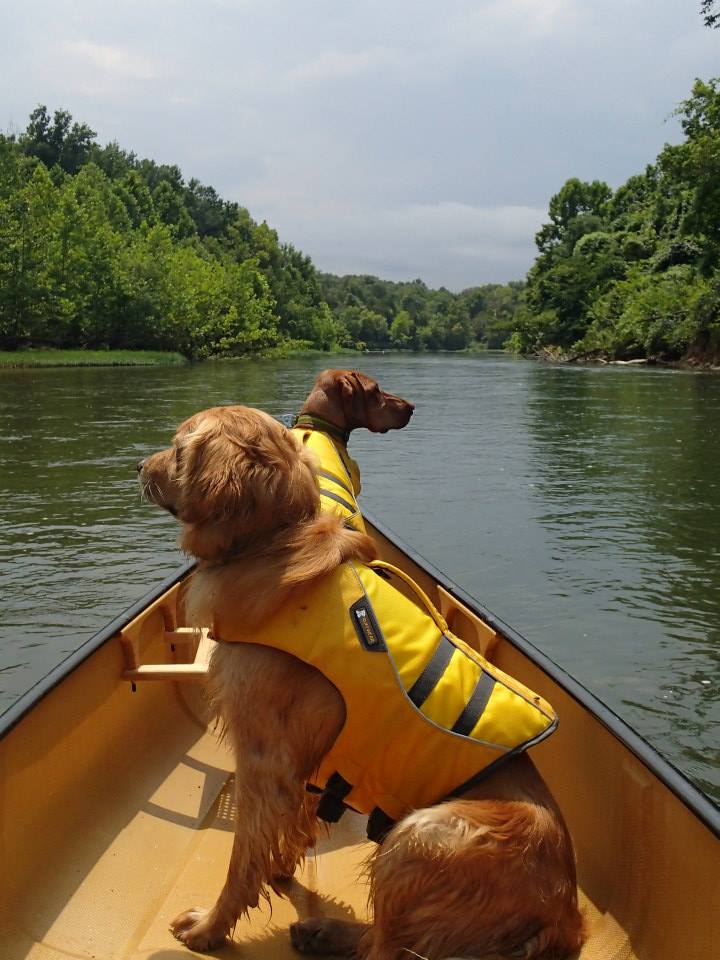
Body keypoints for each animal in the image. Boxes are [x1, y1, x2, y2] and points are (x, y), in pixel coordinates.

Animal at [138, 406, 584, 960]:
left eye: (178, 449)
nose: (138, 466)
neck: (273, 544)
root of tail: (565, 921)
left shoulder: (264, 760)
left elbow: (242, 862)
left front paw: (209, 929)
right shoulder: (302, 771)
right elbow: (287, 834)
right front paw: (280, 870)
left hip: (419, 835)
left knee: (386, 948)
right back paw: (322, 930)